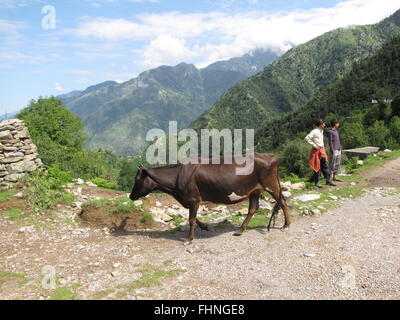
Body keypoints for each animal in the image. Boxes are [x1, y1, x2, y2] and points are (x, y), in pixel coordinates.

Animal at [131, 154, 290, 241]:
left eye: (137, 180)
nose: (131, 196)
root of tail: (270, 156)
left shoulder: (194, 198)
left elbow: (191, 219)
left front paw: (189, 238)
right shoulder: (189, 200)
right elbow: (193, 217)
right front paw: (206, 227)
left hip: (271, 184)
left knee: (282, 201)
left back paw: (286, 224)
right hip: (254, 190)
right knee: (253, 208)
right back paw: (240, 230)